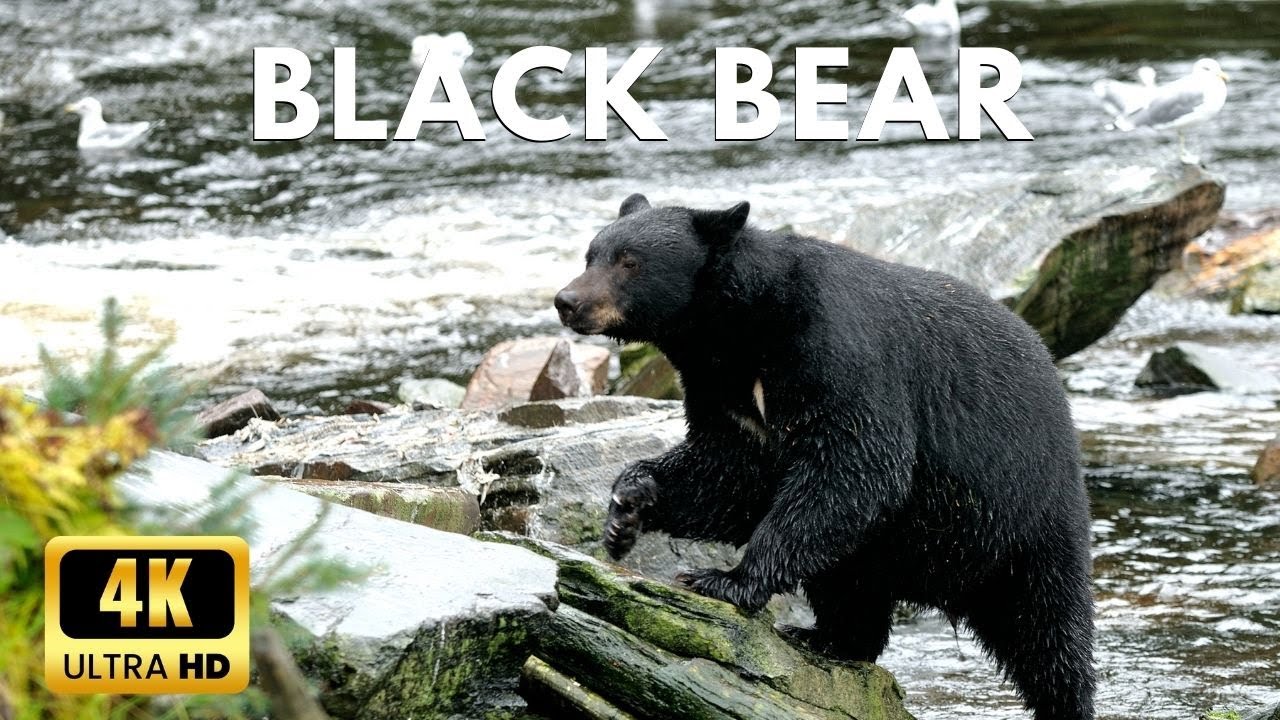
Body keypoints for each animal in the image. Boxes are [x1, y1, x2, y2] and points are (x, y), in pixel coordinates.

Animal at [553, 194, 1096, 720]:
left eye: (630, 261)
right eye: (591, 254)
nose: (567, 301)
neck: (741, 329)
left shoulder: (834, 353)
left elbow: (853, 467)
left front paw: (723, 579)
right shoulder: (724, 391)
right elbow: (728, 472)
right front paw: (627, 509)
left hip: (1026, 516)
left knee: (1050, 632)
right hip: (893, 549)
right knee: (852, 587)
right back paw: (829, 638)